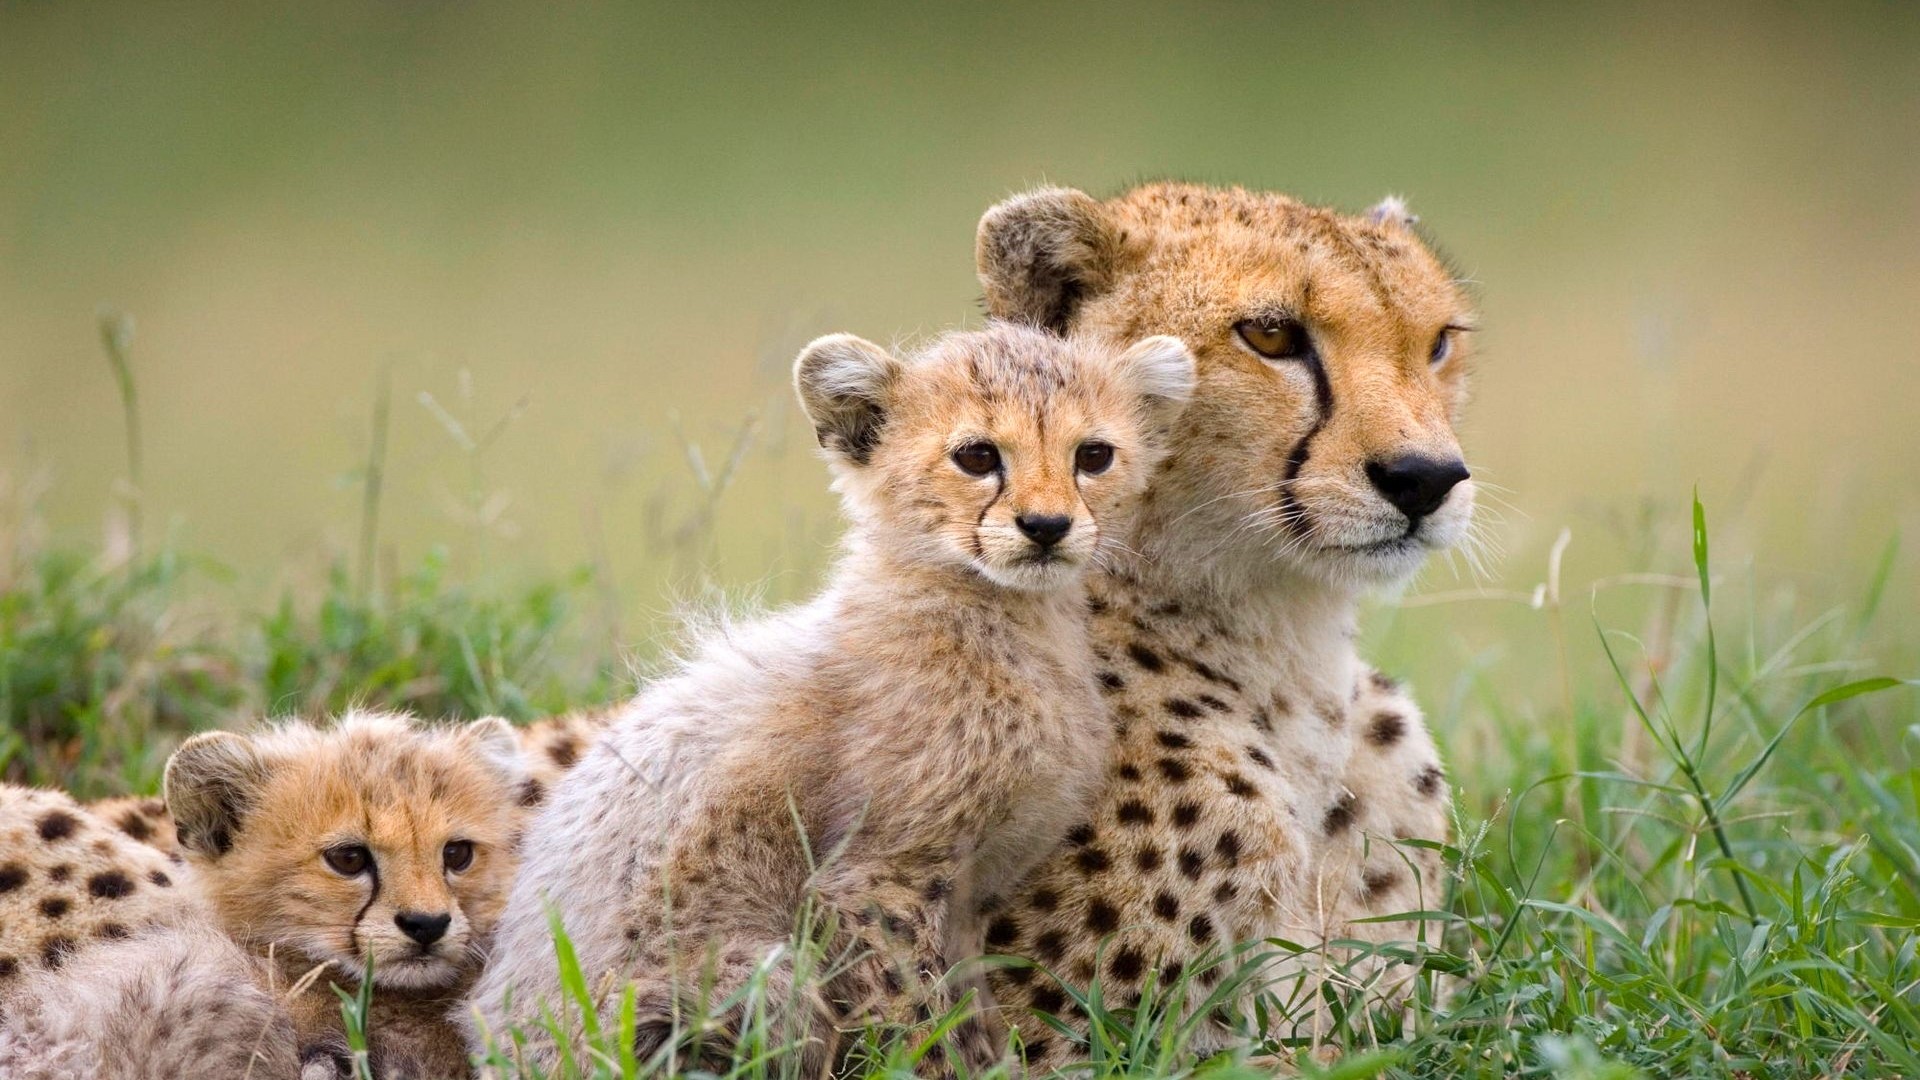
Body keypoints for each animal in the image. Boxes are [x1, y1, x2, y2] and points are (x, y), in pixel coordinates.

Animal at [467, 322, 1198, 1077]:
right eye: (976, 456)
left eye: (1093, 455)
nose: (1048, 526)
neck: (1001, 617)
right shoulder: (875, 878)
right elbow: (918, 1018)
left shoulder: (967, 896)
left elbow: (968, 1014)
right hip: (748, 977)